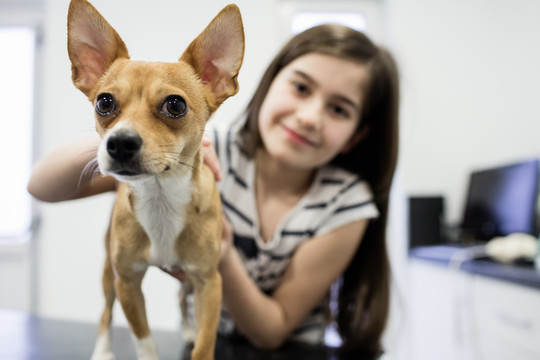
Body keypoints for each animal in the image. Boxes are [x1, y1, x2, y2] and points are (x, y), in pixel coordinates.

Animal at [67, 0, 243, 360]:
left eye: (175, 105)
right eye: (104, 102)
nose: (119, 142)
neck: (161, 198)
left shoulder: (208, 282)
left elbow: (204, 343)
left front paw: (197, 337)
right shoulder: (127, 282)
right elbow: (144, 338)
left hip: (189, 279)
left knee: (181, 298)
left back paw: (188, 328)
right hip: (108, 275)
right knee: (105, 312)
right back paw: (103, 351)